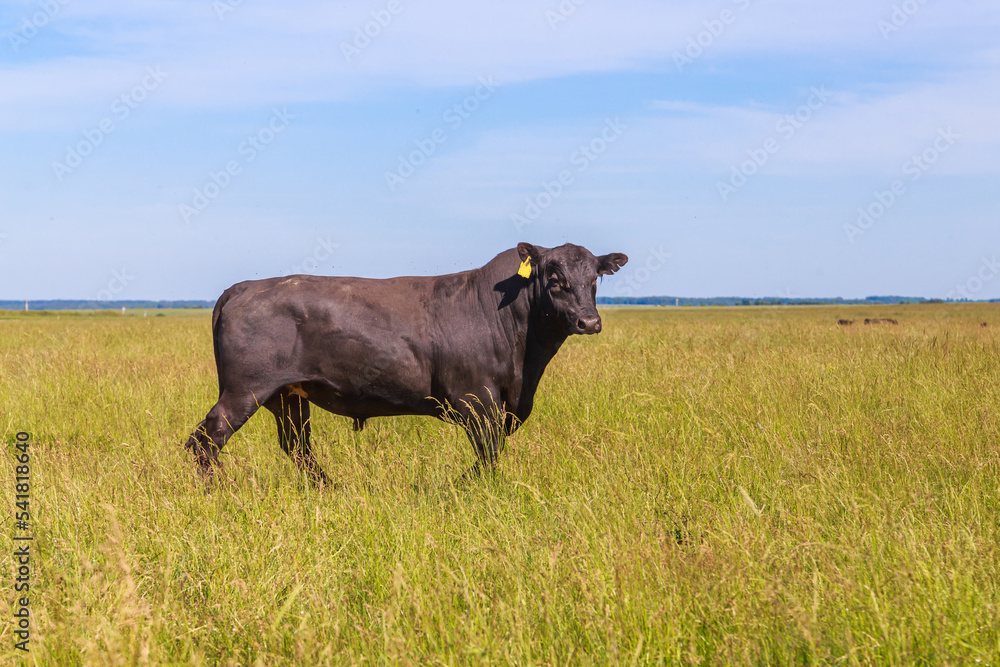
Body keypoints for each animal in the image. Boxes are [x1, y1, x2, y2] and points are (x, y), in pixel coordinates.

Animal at [184, 243, 628, 482]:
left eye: (594, 278)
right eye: (554, 278)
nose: (589, 321)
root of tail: (242, 287)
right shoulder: (478, 400)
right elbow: (488, 454)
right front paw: (466, 487)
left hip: (288, 396)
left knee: (297, 447)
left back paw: (329, 488)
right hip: (244, 390)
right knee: (205, 440)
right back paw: (219, 491)